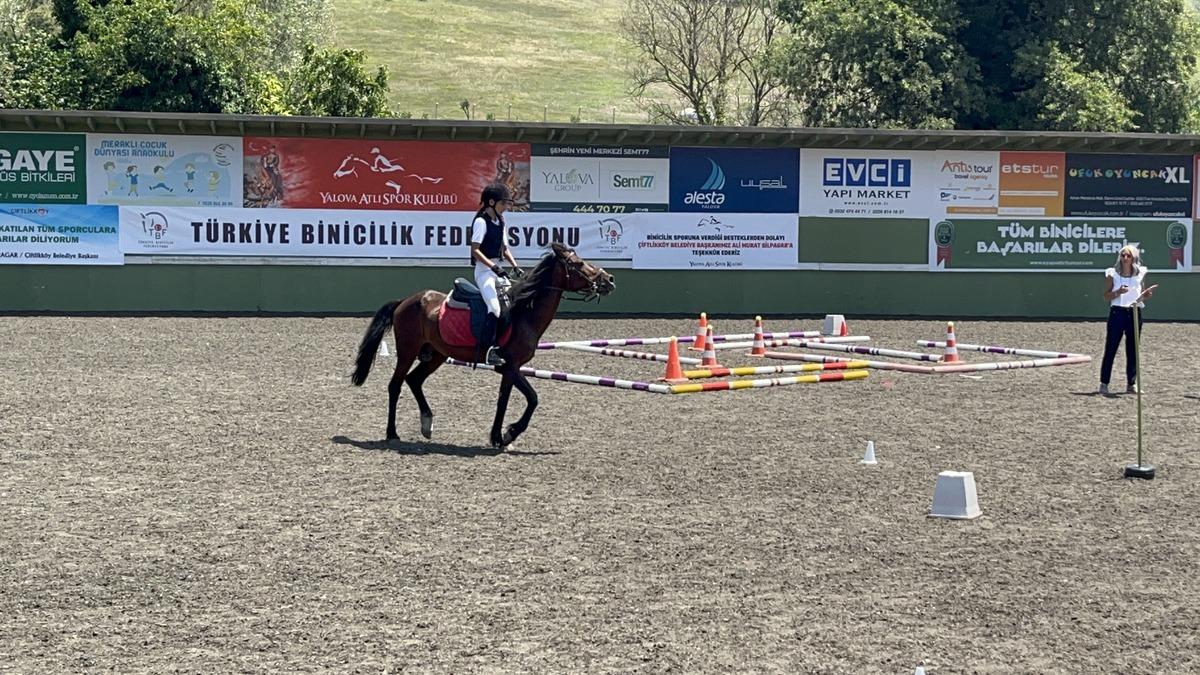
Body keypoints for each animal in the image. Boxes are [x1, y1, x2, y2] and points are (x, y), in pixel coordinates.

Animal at [351, 242, 616, 448]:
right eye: (578, 264)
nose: (609, 279)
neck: (524, 312)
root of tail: (406, 301)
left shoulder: (512, 368)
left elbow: (522, 399)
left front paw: (505, 434)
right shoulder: (509, 366)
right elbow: (518, 399)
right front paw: (503, 435)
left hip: (435, 355)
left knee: (414, 380)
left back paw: (427, 423)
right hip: (407, 351)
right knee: (395, 385)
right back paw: (392, 433)